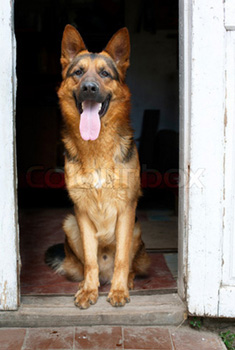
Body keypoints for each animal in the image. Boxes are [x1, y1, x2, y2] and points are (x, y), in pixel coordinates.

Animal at [45, 25, 149, 308]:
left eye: (104, 74)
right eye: (78, 73)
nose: (89, 88)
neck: (96, 148)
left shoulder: (126, 210)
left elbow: (122, 259)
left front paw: (119, 290)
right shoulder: (80, 212)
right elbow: (90, 260)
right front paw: (89, 290)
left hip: (136, 229)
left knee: (128, 264)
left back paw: (125, 281)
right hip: (70, 224)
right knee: (88, 265)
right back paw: (88, 282)